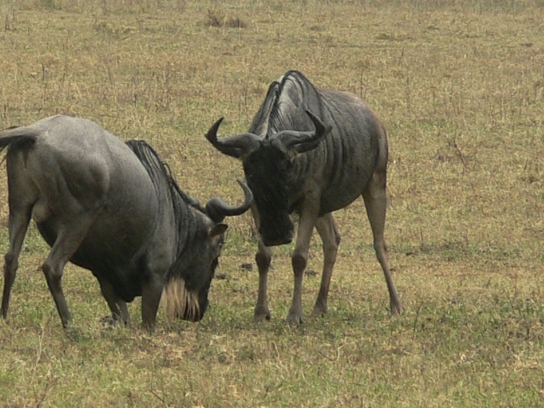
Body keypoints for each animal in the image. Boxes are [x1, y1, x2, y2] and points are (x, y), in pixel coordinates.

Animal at [0, 115, 252, 331]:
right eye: (218, 249)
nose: (198, 311)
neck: (174, 213)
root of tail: (37, 132)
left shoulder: (105, 276)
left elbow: (123, 316)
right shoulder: (155, 275)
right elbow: (147, 322)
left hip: (19, 210)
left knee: (11, 260)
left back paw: (4, 317)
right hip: (78, 220)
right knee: (52, 267)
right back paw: (69, 324)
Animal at [205, 70, 402, 324]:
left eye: (288, 165)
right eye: (248, 170)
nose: (277, 234)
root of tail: (375, 122)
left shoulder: (309, 202)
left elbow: (299, 257)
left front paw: (294, 315)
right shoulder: (259, 207)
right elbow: (262, 257)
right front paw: (261, 312)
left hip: (376, 186)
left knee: (379, 245)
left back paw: (395, 304)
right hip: (324, 209)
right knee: (332, 242)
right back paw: (320, 306)